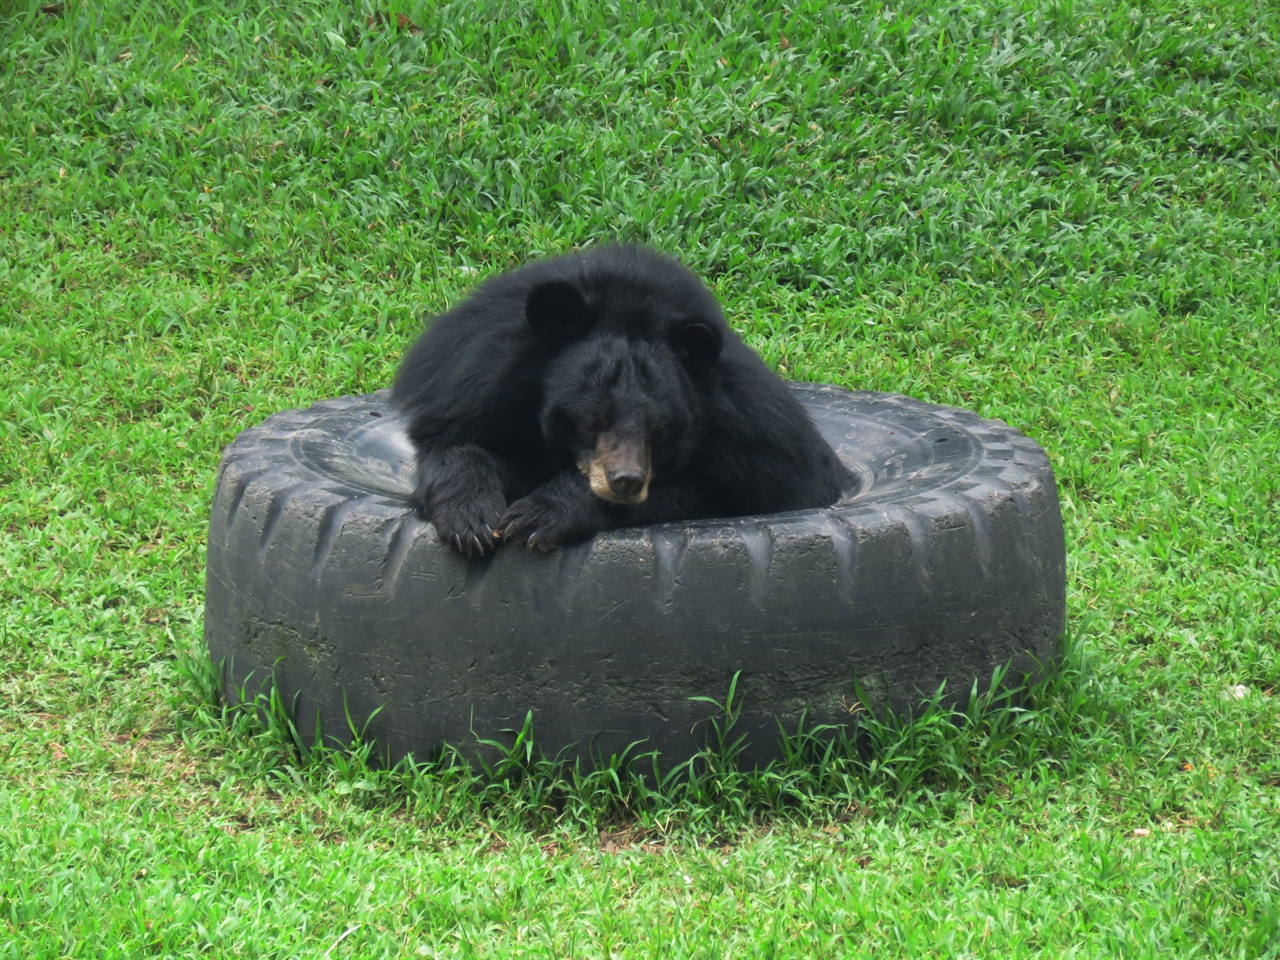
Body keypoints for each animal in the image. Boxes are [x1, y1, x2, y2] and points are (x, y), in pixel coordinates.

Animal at [389, 244, 849, 552]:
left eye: (659, 430)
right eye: (591, 421)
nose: (626, 481)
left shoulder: (758, 442)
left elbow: (706, 492)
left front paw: (536, 517)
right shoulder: (470, 383)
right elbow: (453, 445)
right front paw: (473, 524)